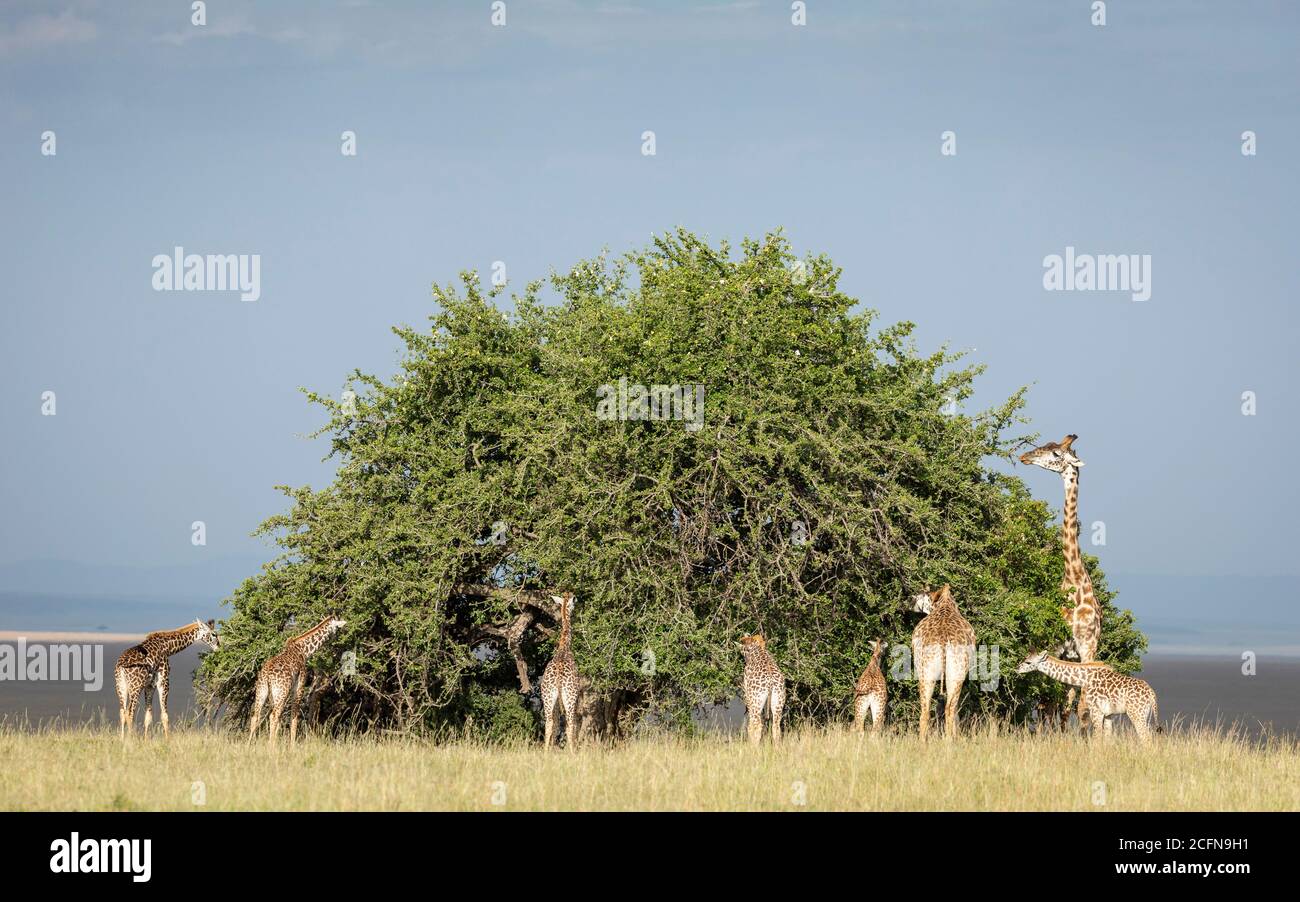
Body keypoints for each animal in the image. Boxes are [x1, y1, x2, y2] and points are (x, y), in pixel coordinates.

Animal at [248, 613, 347, 744]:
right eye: (338, 626)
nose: (338, 639)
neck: (304, 650)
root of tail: (267, 675)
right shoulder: (299, 687)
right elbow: (294, 717)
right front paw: (292, 745)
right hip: (281, 692)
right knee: (273, 716)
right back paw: (270, 746)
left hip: (263, 690)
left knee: (256, 716)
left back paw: (249, 745)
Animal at [539, 592, 582, 751]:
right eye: (573, 602)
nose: (577, 600)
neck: (565, 646)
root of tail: (557, 678)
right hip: (570, 696)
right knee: (570, 724)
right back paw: (572, 752)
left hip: (547, 696)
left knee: (549, 722)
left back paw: (546, 752)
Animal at [910, 585, 976, 741]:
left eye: (920, 594)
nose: (910, 601)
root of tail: (943, 640)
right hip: (955, 672)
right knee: (949, 708)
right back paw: (949, 740)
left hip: (927, 671)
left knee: (928, 710)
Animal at [1016, 651, 1159, 744]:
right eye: (1024, 658)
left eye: (1028, 662)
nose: (1016, 668)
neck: (1084, 678)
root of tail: (1152, 695)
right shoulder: (1109, 714)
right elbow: (1107, 739)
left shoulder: (1096, 710)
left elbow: (1096, 738)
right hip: (1144, 714)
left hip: (1136, 713)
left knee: (1146, 738)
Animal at [1020, 434, 1102, 728]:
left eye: (1056, 454)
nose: (1025, 457)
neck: (1075, 580)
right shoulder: (1059, 648)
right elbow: (1055, 704)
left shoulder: (1087, 649)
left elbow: (1081, 708)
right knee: (1052, 704)